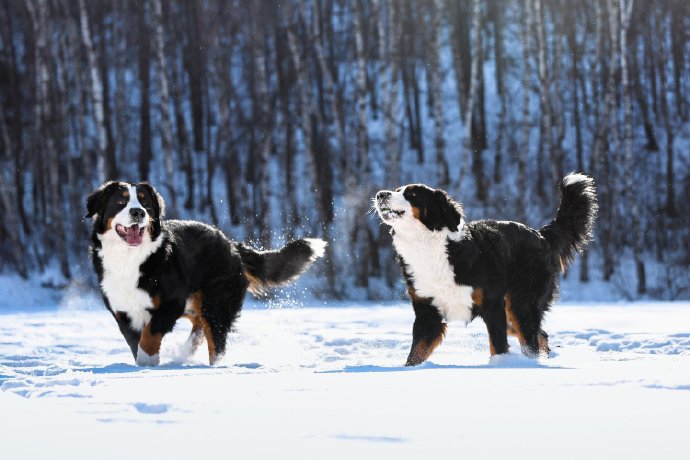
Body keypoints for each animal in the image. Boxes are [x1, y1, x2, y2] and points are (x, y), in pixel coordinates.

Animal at [87, 181, 326, 366]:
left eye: (145, 202)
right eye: (121, 202)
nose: (138, 212)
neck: (129, 258)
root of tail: (230, 243)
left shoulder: (172, 301)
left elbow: (150, 334)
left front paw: (147, 362)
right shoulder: (122, 312)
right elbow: (135, 340)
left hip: (216, 303)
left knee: (214, 341)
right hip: (196, 304)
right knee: (200, 327)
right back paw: (185, 353)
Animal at [374, 174, 592, 364]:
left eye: (411, 194)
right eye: (396, 190)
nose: (380, 194)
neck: (429, 246)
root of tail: (539, 234)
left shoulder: (493, 305)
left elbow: (498, 346)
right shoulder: (427, 312)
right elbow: (415, 354)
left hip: (519, 303)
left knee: (531, 340)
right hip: (513, 313)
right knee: (541, 335)